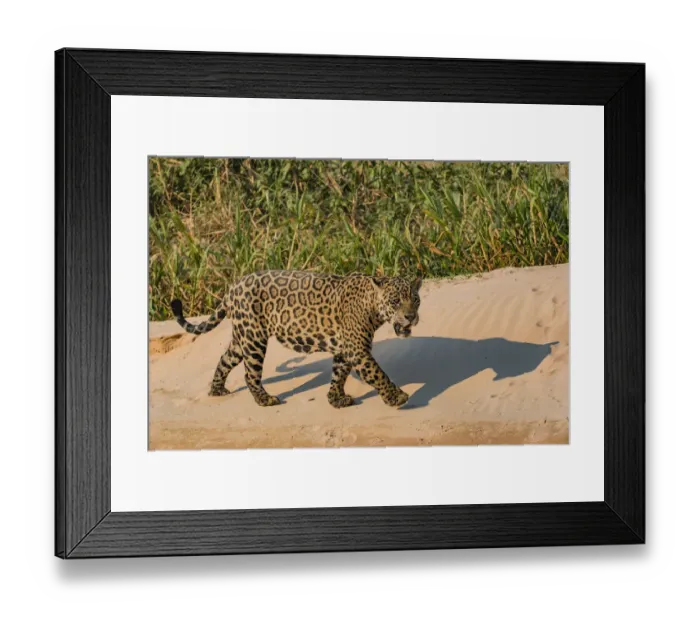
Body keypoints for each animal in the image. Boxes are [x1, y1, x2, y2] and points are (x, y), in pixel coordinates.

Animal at [170, 270, 422, 409]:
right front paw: (396, 397)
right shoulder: (357, 349)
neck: (372, 306)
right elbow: (377, 373)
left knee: (225, 358)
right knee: (250, 373)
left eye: (416, 300)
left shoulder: (344, 348)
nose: (410, 317)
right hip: (254, 338)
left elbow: (339, 373)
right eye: (395, 301)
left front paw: (335, 398)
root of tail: (233, 286)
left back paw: (216, 390)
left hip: (242, 336)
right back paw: (265, 400)